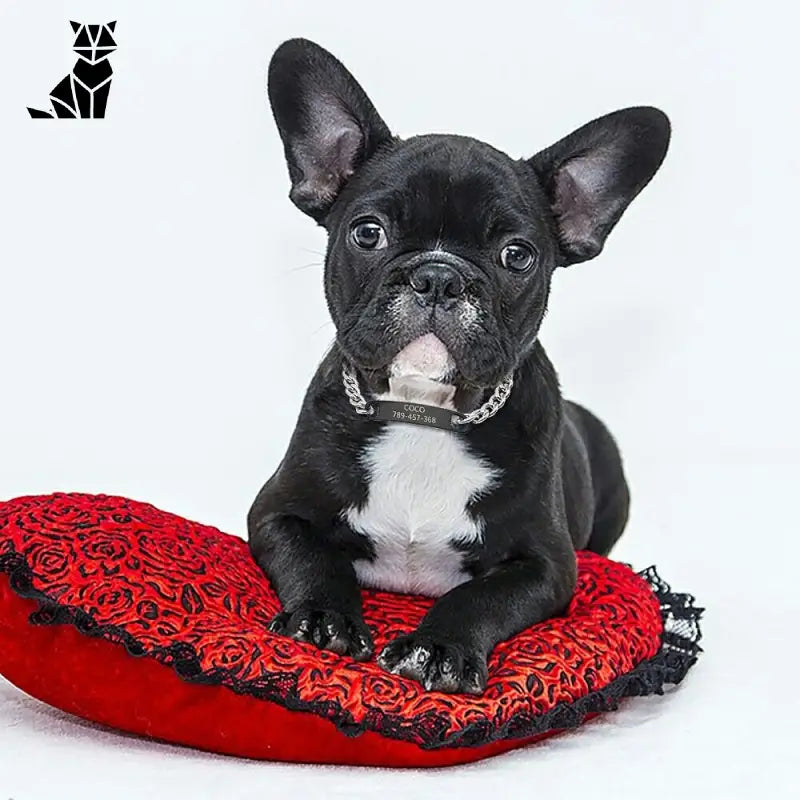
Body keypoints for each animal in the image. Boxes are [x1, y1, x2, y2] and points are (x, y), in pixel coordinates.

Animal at [248, 39, 668, 692]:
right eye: (367, 233)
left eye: (517, 255)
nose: (438, 276)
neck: (423, 412)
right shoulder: (274, 513)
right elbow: (313, 559)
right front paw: (323, 617)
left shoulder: (546, 566)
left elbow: (479, 598)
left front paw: (439, 648)